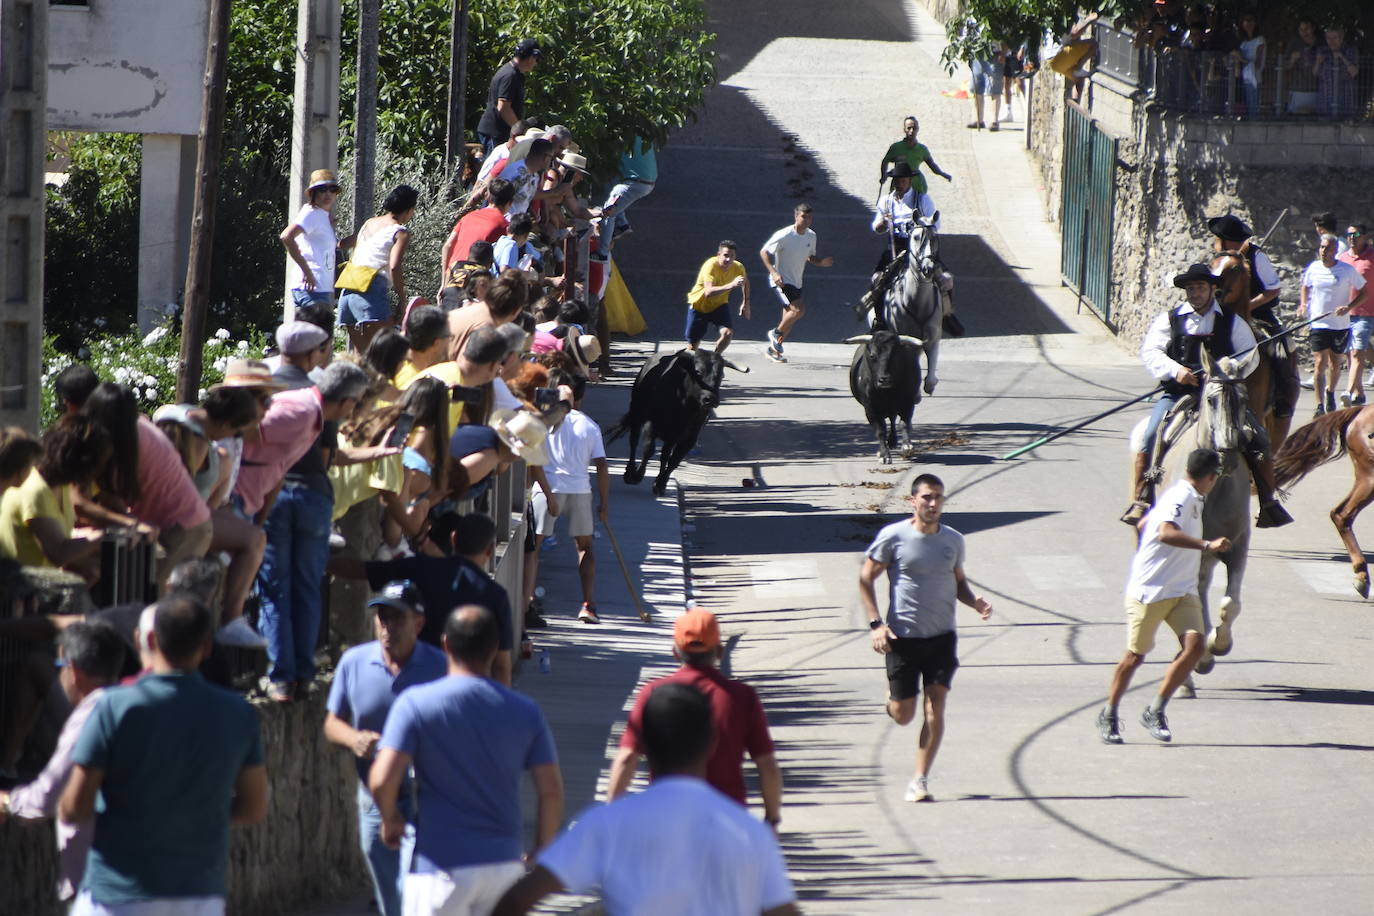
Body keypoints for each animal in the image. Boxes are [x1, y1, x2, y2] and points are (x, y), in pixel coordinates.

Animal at [607, 348, 747, 494]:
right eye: (698, 371)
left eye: (720, 375)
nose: (711, 399)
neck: (684, 406)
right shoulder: (652, 424)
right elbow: (648, 449)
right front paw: (638, 475)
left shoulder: (689, 437)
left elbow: (674, 460)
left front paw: (660, 484)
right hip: (636, 412)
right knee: (633, 441)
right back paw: (629, 473)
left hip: (670, 436)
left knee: (664, 455)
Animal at [868, 219, 945, 401]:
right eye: (916, 237)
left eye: (935, 236)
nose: (928, 268)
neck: (917, 304)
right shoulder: (906, 340)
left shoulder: (933, 338)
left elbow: (930, 377)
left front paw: (929, 386)